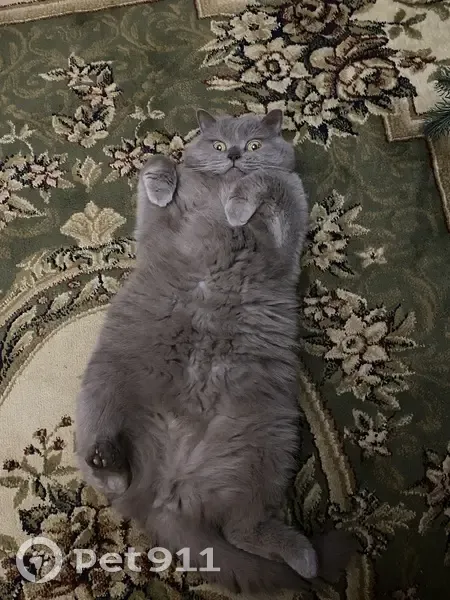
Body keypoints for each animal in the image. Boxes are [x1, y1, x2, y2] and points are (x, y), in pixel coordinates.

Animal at [75, 109, 355, 594]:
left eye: (256, 144)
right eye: (219, 145)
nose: (238, 155)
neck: (222, 184)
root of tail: (167, 491)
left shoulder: (287, 225)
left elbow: (269, 182)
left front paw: (238, 206)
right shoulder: (156, 228)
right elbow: (159, 161)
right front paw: (163, 183)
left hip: (268, 444)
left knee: (243, 528)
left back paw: (306, 559)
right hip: (102, 390)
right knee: (113, 482)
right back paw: (108, 458)